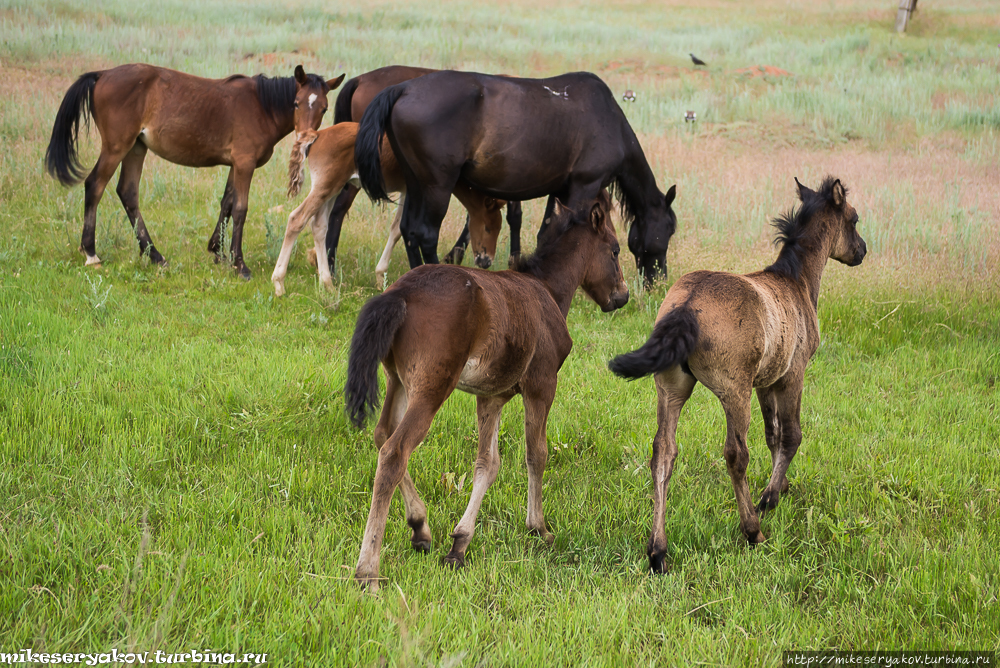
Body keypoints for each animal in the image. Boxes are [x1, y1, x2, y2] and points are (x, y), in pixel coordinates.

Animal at [45, 60, 344, 274]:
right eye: (296, 103)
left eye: (324, 108)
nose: (305, 140)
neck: (262, 105)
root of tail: (103, 74)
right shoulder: (245, 163)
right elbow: (240, 209)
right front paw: (239, 263)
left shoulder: (235, 164)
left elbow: (226, 203)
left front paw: (218, 251)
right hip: (116, 147)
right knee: (95, 185)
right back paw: (91, 252)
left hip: (136, 148)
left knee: (128, 193)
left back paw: (154, 255)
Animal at [344, 192, 624, 588]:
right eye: (614, 249)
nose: (621, 296)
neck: (547, 291)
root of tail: (400, 292)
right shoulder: (542, 384)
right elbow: (536, 454)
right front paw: (538, 527)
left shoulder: (491, 395)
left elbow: (487, 464)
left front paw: (459, 544)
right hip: (432, 387)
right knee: (395, 452)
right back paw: (368, 569)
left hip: (398, 381)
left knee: (382, 434)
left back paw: (420, 526)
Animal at [354, 70, 680, 284]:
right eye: (669, 230)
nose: (659, 281)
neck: (609, 121)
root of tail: (403, 89)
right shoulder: (583, 188)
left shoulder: (560, 190)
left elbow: (547, 232)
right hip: (436, 186)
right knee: (424, 233)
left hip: (416, 182)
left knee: (408, 230)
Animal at [608, 177, 868, 576]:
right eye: (853, 219)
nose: (861, 251)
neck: (795, 281)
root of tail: (686, 307)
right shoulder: (792, 376)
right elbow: (791, 435)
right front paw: (769, 498)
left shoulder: (767, 381)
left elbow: (772, 436)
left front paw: (781, 484)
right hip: (734, 391)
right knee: (735, 454)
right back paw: (752, 530)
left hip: (671, 387)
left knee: (663, 452)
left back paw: (658, 552)